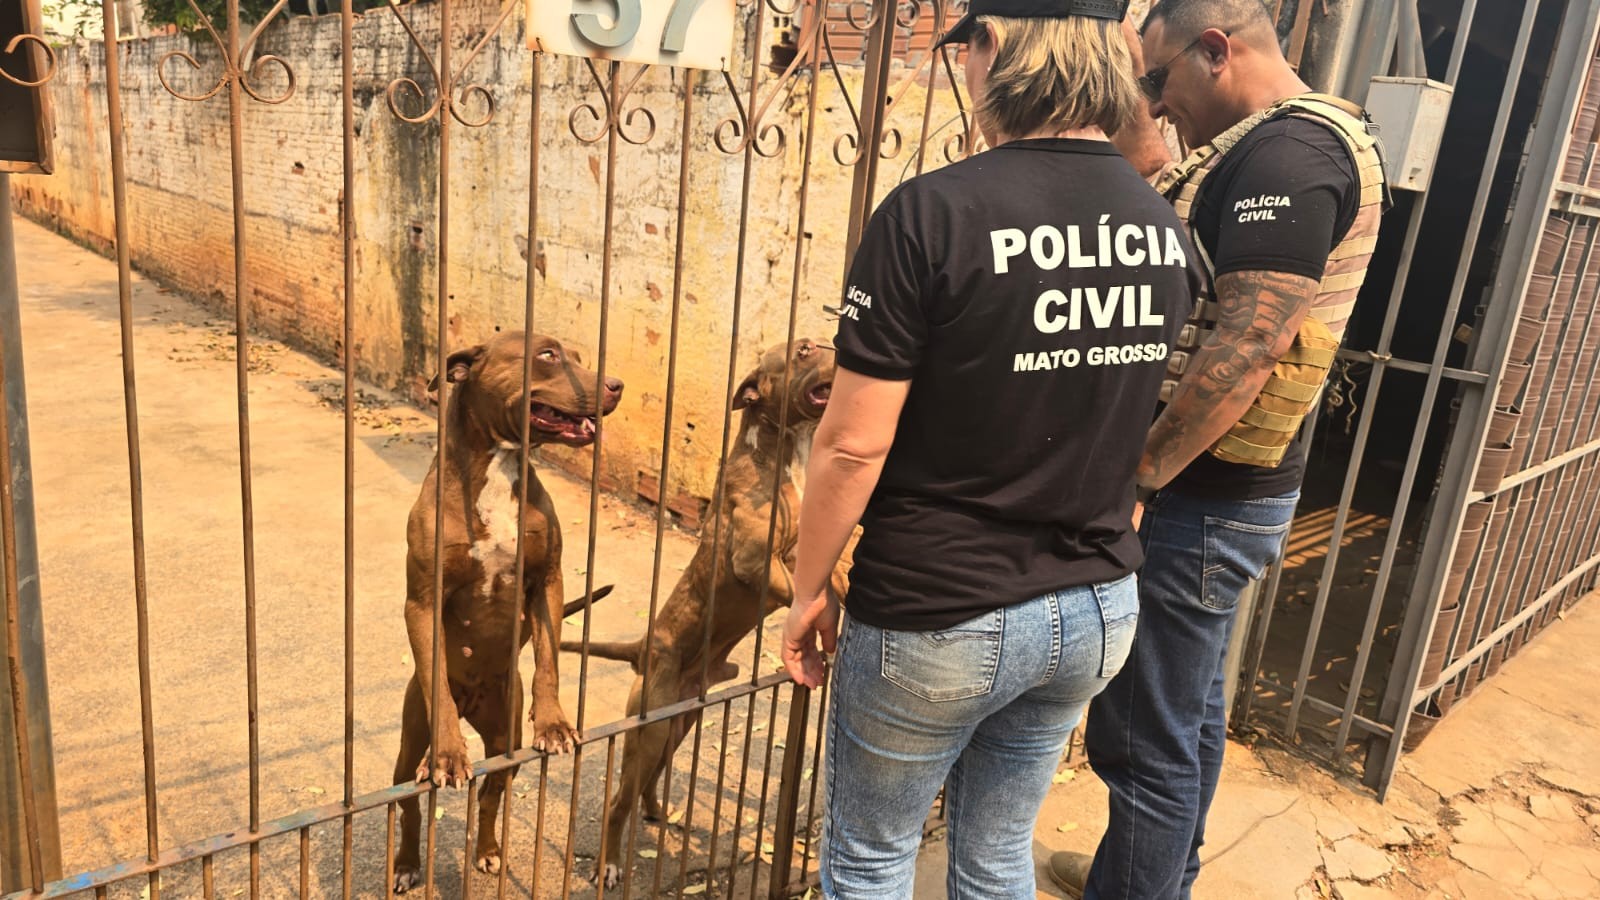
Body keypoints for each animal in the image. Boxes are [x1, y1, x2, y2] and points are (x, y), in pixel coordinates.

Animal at [393, 331, 624, 890]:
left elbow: (548, 663)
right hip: (408, 743)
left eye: (580, 357)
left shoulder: (548, 582)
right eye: (548, 355)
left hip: (504, 739)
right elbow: (437, 681)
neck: (498, 468)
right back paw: (408, 861)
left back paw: (488, 850)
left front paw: (555, 724)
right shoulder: (421, 602)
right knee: (409, 805)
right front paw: (449, 752)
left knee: (491, 796)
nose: (616, 385)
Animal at [563, 337, 851, 883]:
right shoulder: (757, 563)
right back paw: (608, 862)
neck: (781, 450)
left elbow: (835, 575)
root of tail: (643, 648)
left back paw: (656, 810)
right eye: (805, 349)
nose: (838, 341)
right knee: (617, 802)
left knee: (645, 784)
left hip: (679, 726)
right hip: (651, 729)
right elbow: (804, 592)